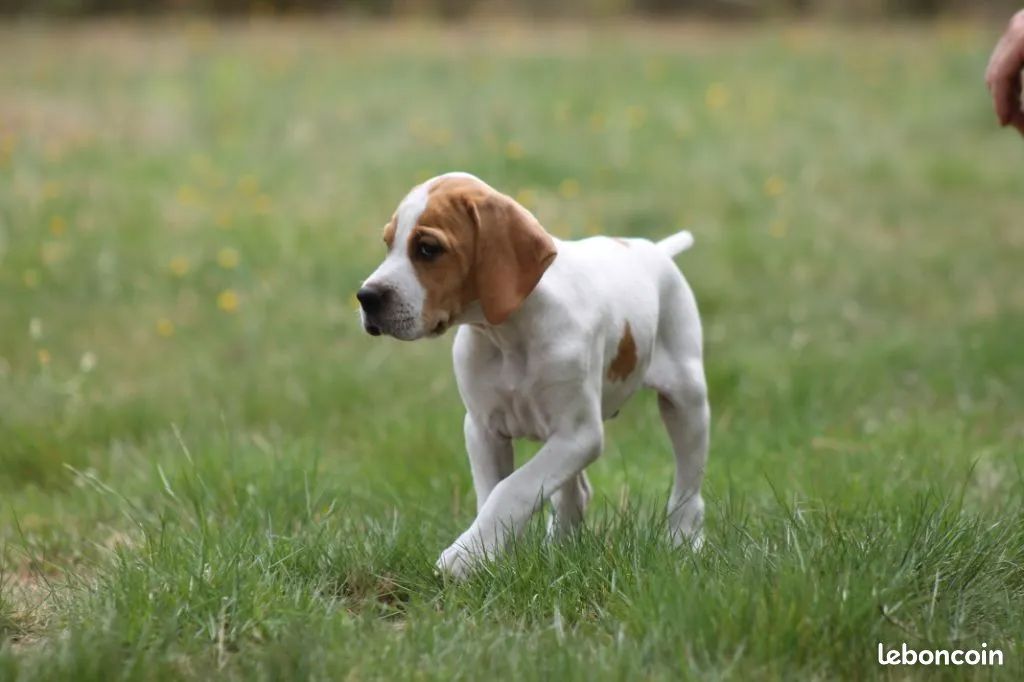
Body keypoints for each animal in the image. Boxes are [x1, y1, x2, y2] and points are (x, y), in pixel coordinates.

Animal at [362, 173, 712, 577]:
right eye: (388, 243)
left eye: (428, 249)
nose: (366, 297)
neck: (507, 334)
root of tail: (656, 250)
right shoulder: (483, 430)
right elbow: (495, 494)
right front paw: (486, 555)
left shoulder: (578, 435)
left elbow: (513, 489)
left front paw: (463, 556)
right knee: (575, 492)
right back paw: (561, 546)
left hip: (686, 402)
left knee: (688, 487)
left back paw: (683, 541)